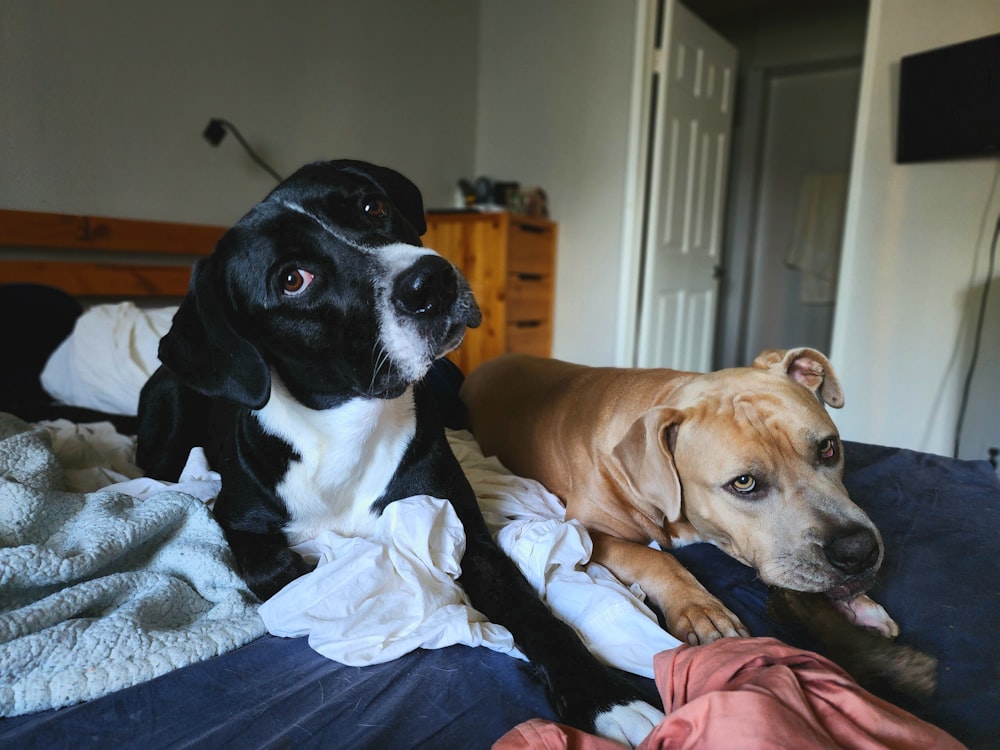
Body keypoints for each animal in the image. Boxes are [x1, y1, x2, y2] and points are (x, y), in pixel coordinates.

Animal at [135, 160, 664, 748]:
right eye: (292, 279)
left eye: (373, 207)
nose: (432, 280)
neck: (348, 427)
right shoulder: (234, 517)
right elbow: (278, 567)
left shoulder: (469, 536)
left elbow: (537, 615)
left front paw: (606, 696)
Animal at [462, 350, 900, 648]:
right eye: (744, 483)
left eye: (828, 448)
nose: (859, 551)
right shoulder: (585, 531)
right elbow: (655, 558)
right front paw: (701, 609)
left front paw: (860, 604)